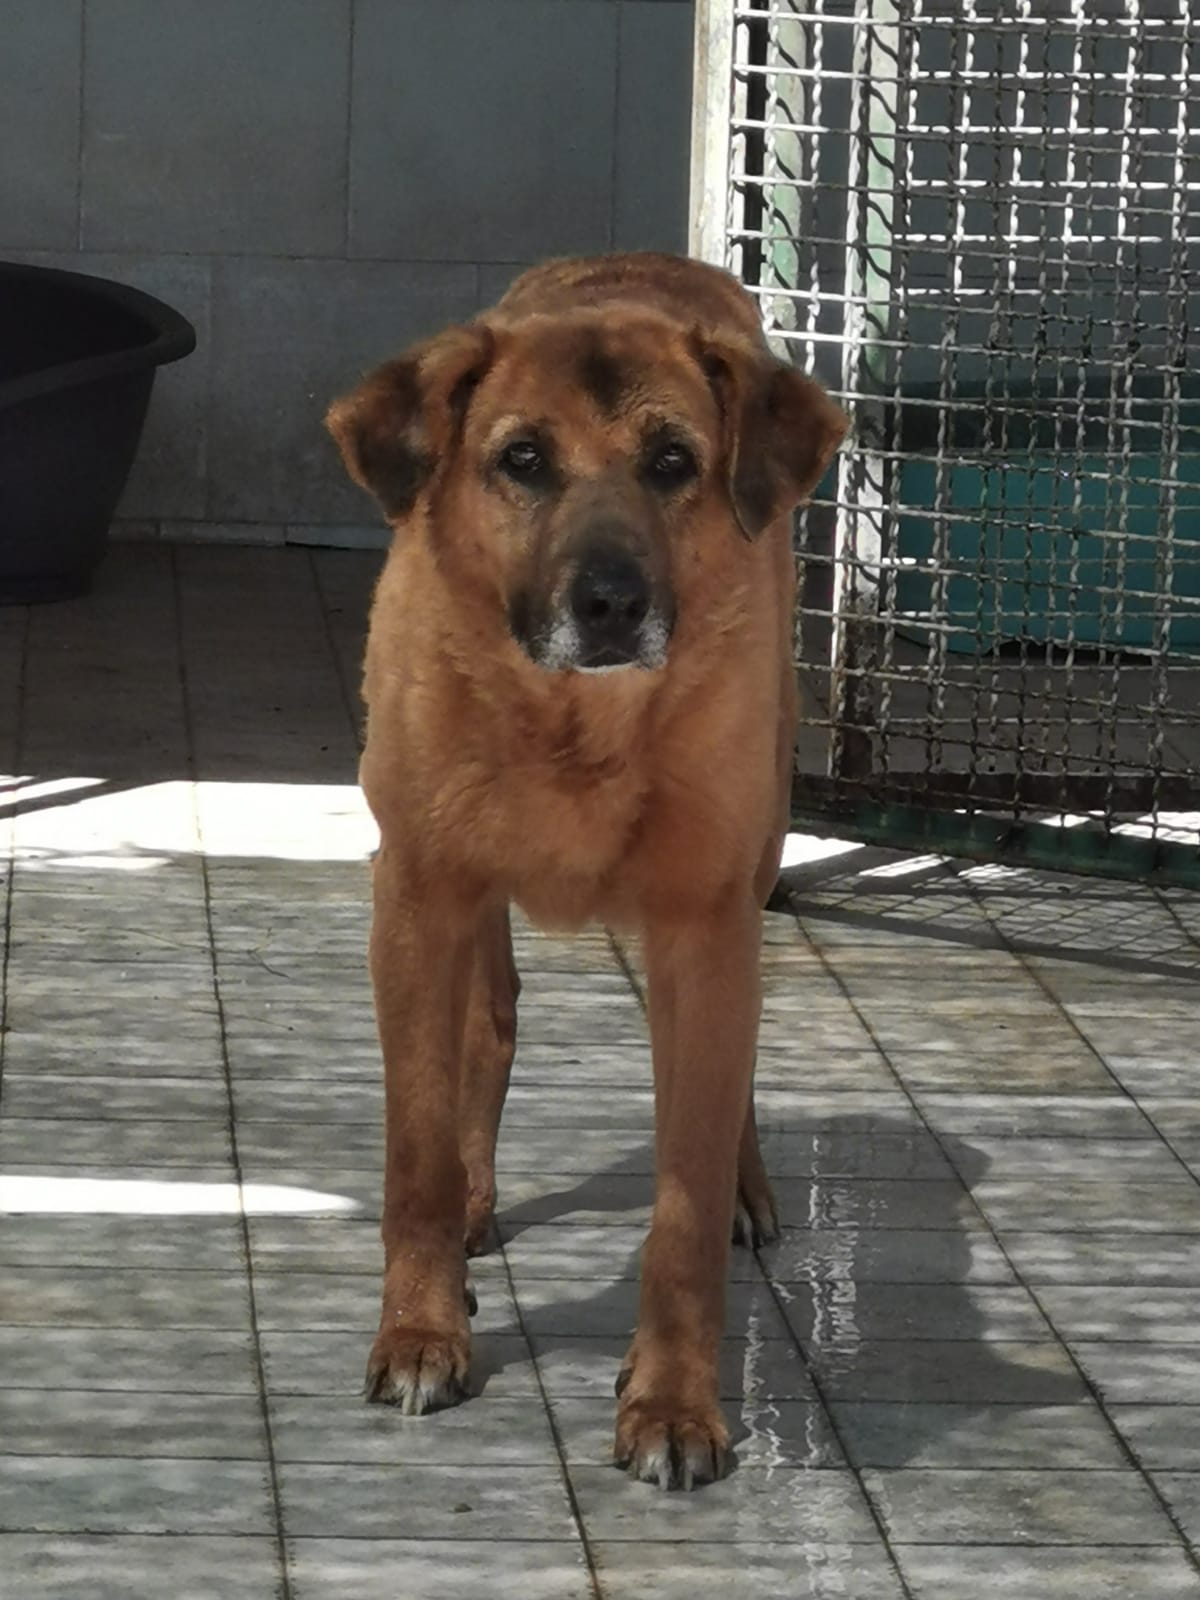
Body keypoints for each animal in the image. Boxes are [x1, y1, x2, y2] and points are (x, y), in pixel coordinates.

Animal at [326, 252, 846, 1490]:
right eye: (522, 459)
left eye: (673, 463)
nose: (610, 603)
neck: (575, 725)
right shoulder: (418, 897)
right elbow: (416, 1151)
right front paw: (421, 1331)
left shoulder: (704, 926)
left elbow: (683, 1205)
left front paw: (675, 1400)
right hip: (465, 906)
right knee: (489, 1025)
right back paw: (476, 1199)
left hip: (749, 872)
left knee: (724, 1091)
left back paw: (749, 1186)